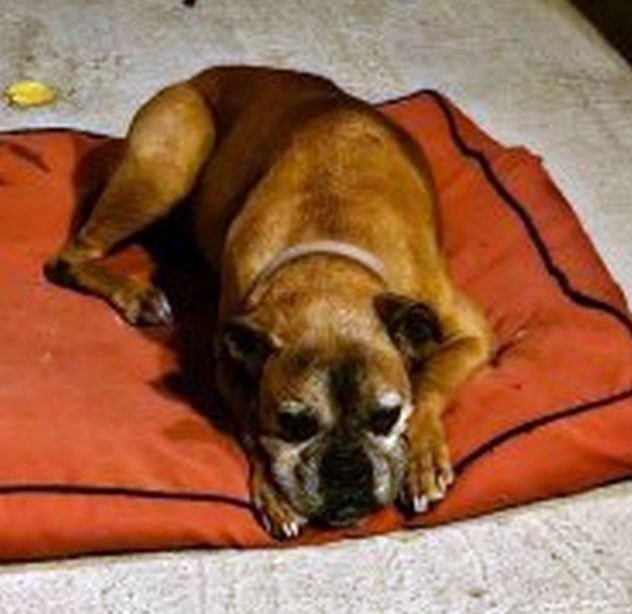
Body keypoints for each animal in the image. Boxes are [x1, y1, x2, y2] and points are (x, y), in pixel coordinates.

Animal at [44, 66, 492, 539]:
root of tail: (198, 77)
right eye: (293, 424)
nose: (347, 470)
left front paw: (422, 454)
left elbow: (429, 382)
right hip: (172, 157)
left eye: (387, 416)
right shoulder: (228, 360)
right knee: (69, 257)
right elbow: (252, 427)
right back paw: (136, 294)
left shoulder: (472, 334)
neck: (328, 258)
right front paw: (275, 489)